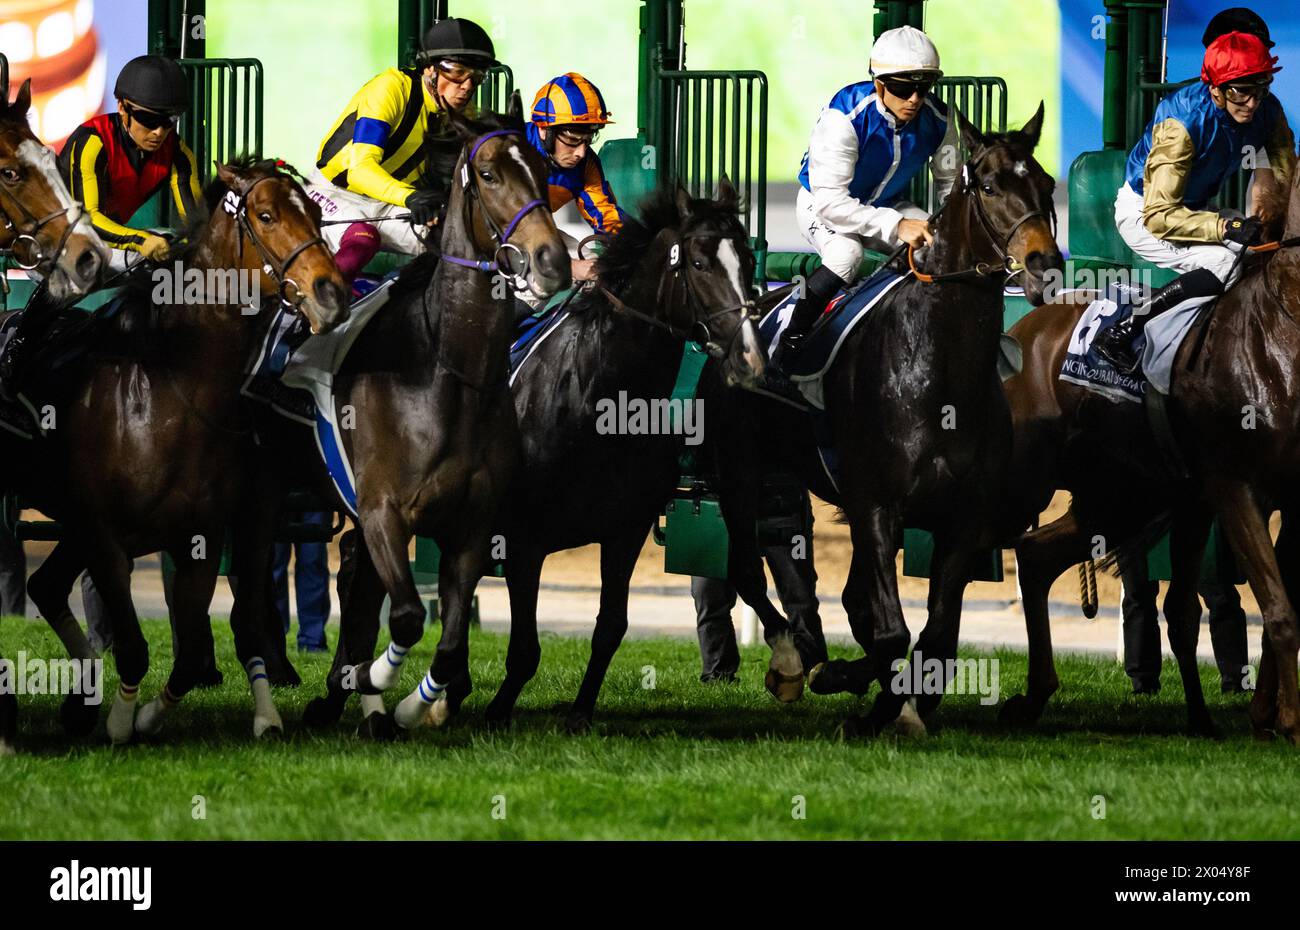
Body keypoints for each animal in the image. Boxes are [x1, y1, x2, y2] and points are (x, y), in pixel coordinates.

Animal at [10, 159, 348, 744]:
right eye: (266, 215)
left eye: (314, 211)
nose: (330, 292)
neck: (171, 389)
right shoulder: (104, 535)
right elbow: (134, 644)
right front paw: (122, 722)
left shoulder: (201, 535)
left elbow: (190, 654)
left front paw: (146, 716)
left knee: (47, 586)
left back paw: (80, 704)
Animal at [475, 178, 764, 733]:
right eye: (699, 263)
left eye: (747, 260)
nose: (749, 358)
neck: (598, 393)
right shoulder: (523, 539)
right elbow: (523, 648)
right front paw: (494, 712)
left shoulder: (624, 531)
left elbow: (610, 626)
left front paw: (579, 713)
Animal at [707, 105, 1060, 738]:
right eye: (990, 185)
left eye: (1046, 185)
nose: (1046, 264)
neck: (937, 373)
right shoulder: (874, 503)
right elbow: (893, 630)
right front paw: (867, 697)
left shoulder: (964, 519)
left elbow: (936, 636)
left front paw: (898, 702)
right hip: (739, 471)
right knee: (749, 566)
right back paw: (792, 664)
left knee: (846, 598)